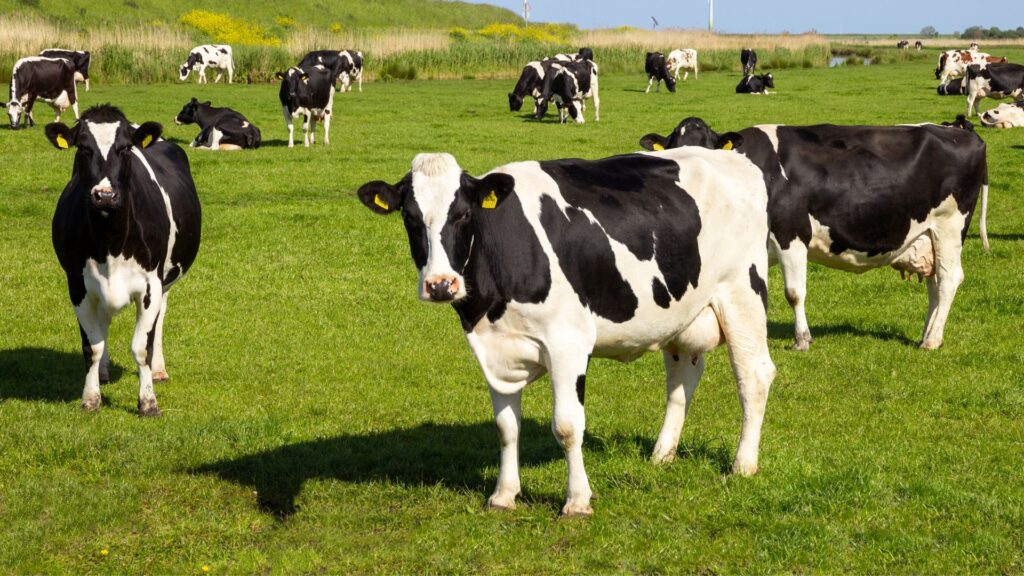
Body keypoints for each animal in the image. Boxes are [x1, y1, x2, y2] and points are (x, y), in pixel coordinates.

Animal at [45, 104, 201, 416]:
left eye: (126, 148)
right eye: (83, 147)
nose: (104, 195)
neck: (111, 242)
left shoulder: (151, 286)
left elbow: (141, 347)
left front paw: (148, 402)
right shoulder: (77, 286)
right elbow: (92, 346)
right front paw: (91, 398)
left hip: (165, 281)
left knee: (160, 321)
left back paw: (158, 370)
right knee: (103, 323)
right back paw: (104, 372)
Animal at [356, 149, 776, 516]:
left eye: (462, 214)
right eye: (410, 218)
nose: (441, 284)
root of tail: (732, 157)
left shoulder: (567, 344)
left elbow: (568, 426)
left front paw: (577, 501)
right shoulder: (494, 348)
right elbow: (506, 426)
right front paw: (503, 495)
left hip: (742, 292)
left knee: (754, 375)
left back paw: (743, 464)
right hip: (681, 313)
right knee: (682, 378)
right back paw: (662, 455)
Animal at [639, 116, 989, 351]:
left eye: (708, 150)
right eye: (671, 149)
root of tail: (960, 131)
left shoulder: (791, 232)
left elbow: (794, 292)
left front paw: (802, 339)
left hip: (951, 225)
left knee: (949, 279)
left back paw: (932, 340)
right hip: (928, 234)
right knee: (934, 284)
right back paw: (928, 333)